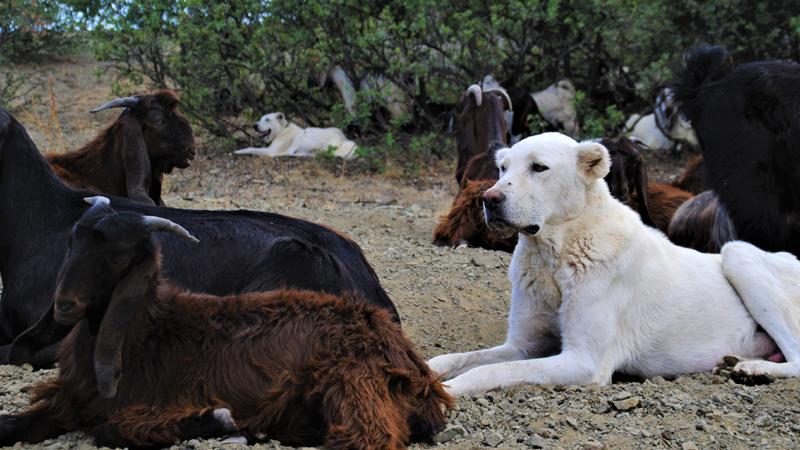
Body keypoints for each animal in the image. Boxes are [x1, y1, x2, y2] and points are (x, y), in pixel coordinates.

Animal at [0, 198, 450, 450]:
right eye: (71, 243)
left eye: (117, 256)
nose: (63, 305)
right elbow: (13, 424)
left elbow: (114, 430)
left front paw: (218, 421)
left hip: (349, 386)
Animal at [428, 132, 800, 396]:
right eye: (503, 169)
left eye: (539, 168)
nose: (489, 199)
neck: (554, 255)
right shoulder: (522, 345)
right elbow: (458, 358)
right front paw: (428, 371)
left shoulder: (584, 361)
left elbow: (493, 370)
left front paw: (449, 389)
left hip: (738, 255)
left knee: (797, 357)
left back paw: (754, 370)